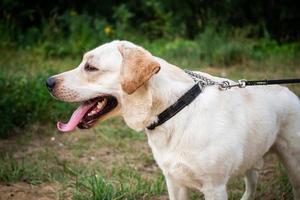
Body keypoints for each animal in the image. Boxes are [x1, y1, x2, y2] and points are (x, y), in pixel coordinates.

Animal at [46, 40, 300, 198]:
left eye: (91, 67)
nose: (47, 82)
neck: (173, 110)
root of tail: (289, 91)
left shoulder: (214, 187)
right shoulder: (173, 181)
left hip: (293, 162)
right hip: (252, 155)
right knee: (252, 181)